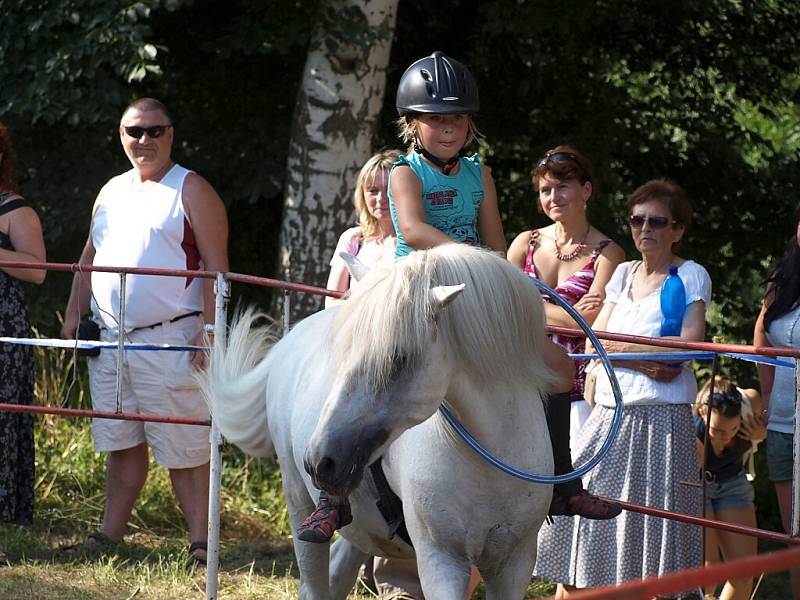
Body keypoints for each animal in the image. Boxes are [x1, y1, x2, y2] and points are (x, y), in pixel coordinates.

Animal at [202, 245, 556, 600]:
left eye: (398, 358)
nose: (320, 461)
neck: (491, 463)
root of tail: (289, 339)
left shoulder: (514, 564)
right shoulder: (441, 560)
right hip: (298, 498)